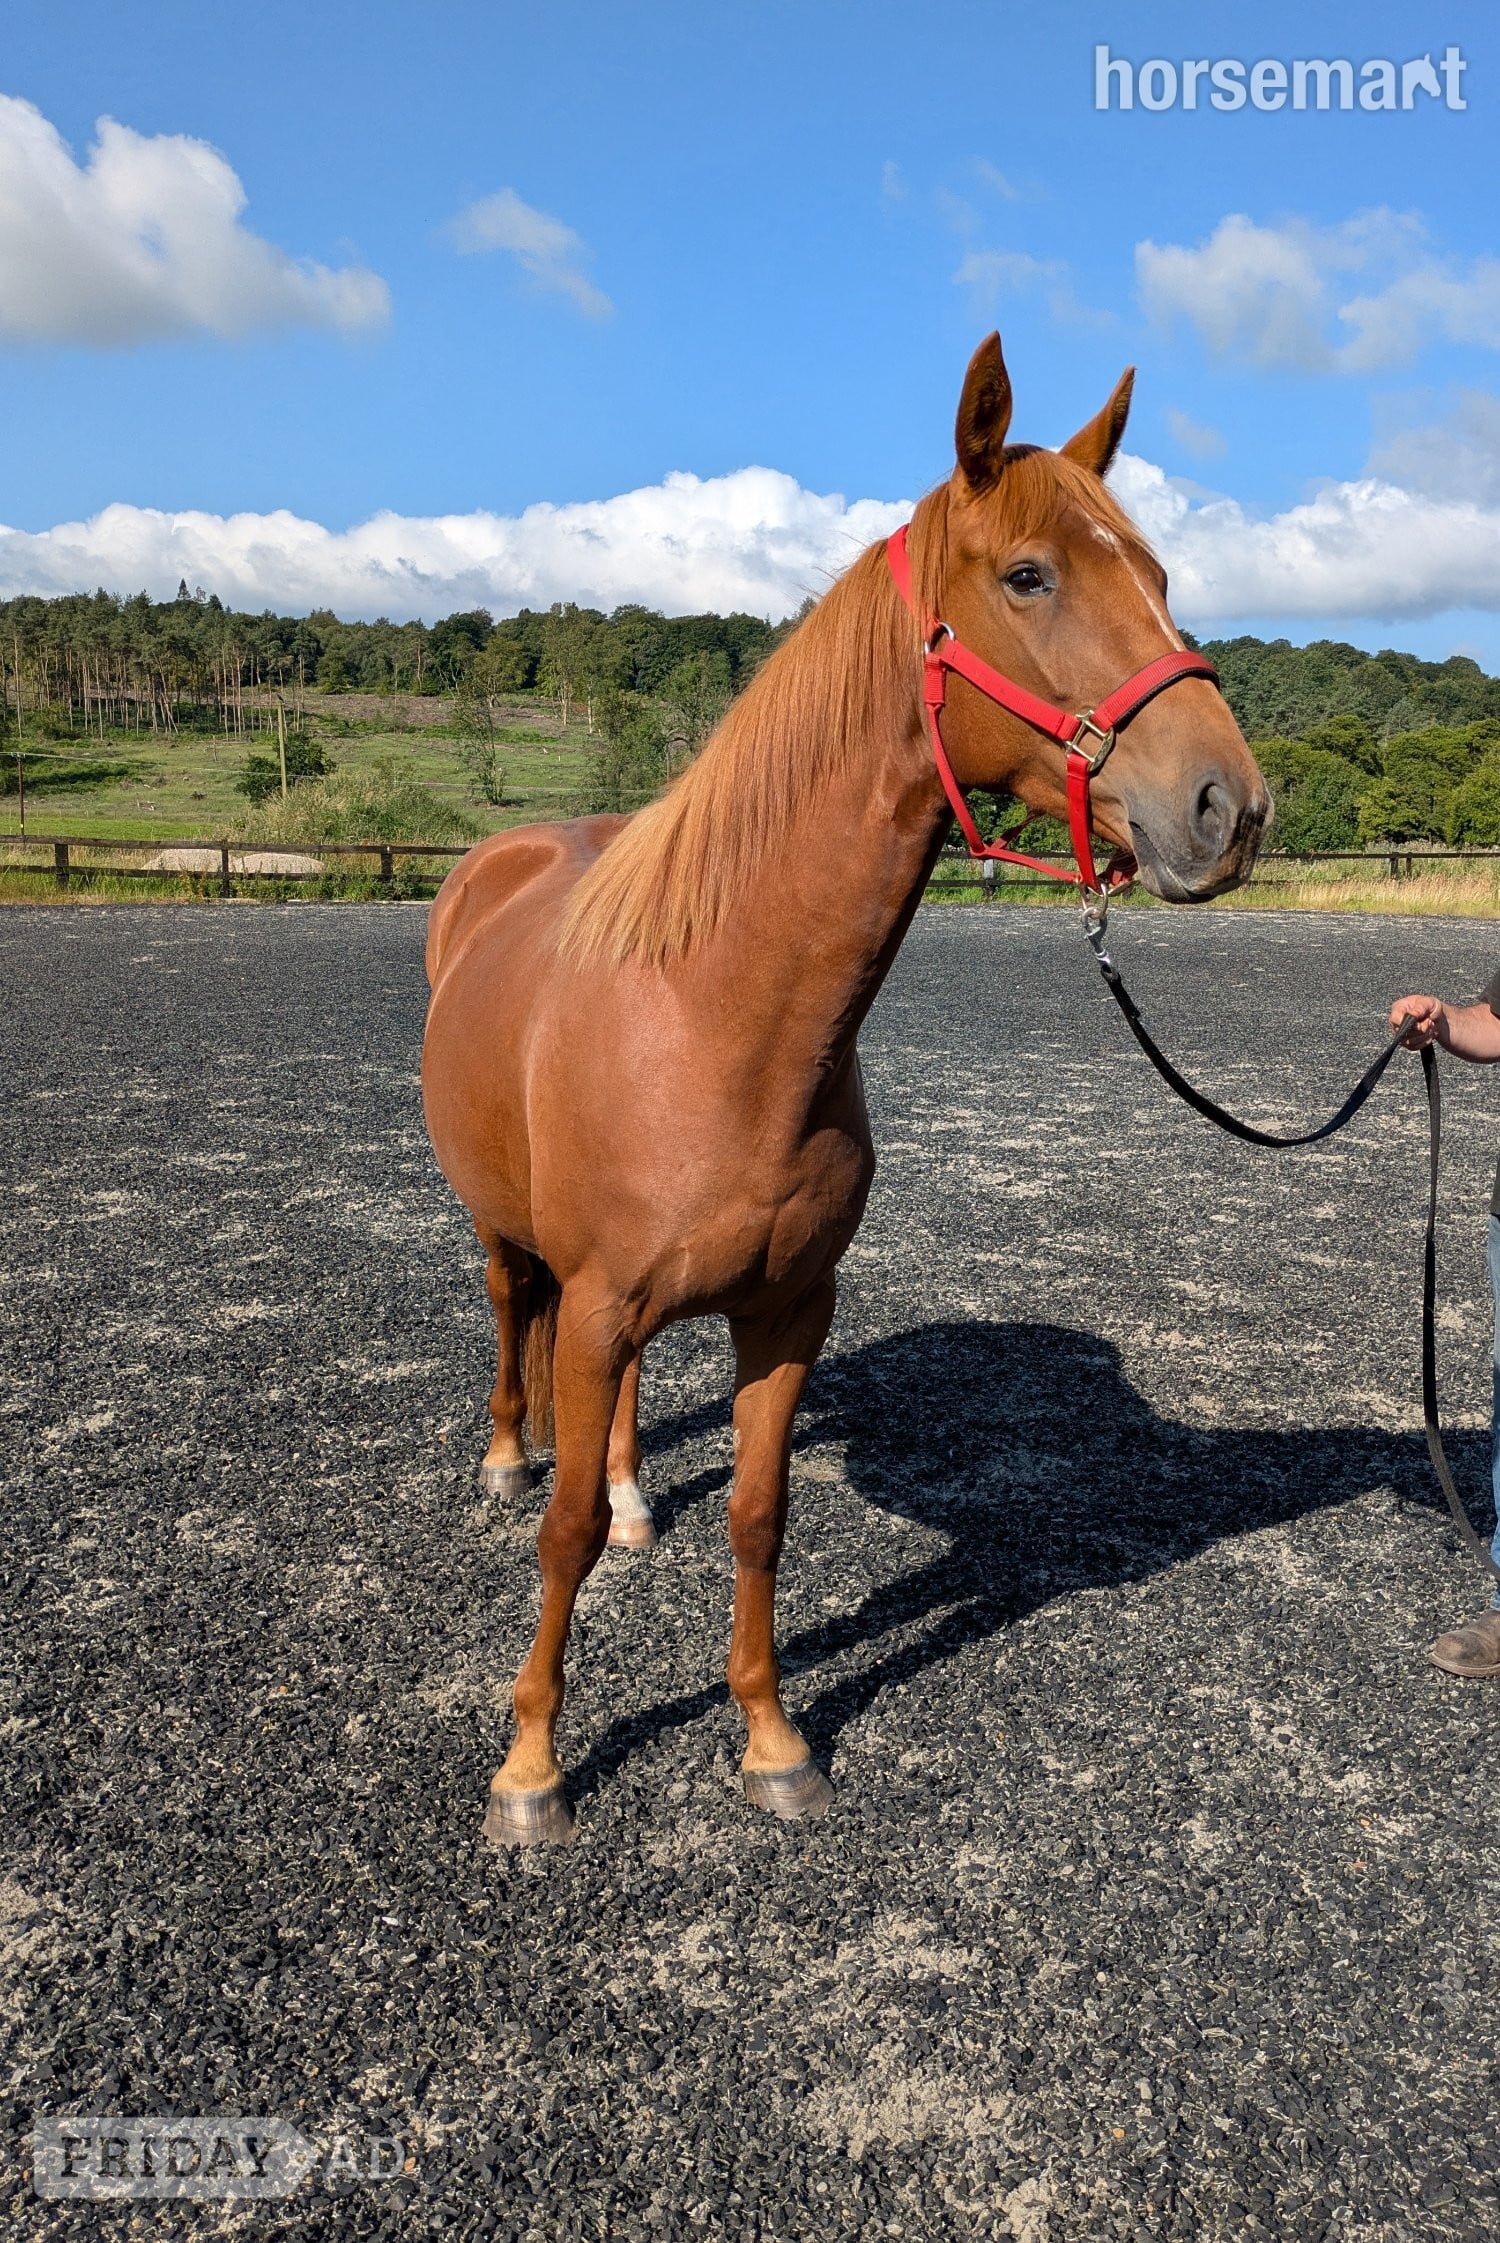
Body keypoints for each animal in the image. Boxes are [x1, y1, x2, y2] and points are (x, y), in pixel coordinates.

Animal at [421, 333, 1269, 1845]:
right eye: (1030, 576)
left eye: (1162, 575)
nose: (1228, 808)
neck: (717, 1020)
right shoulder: (602, 1296)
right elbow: (558, 1539)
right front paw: (531, 1766)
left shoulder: (785, 1307)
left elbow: (761, 1517)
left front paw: (771, 1741)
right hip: (514, 1241)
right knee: (517, 1328)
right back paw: (512, 1453)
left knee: (616, 1428)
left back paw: (636, 1492)